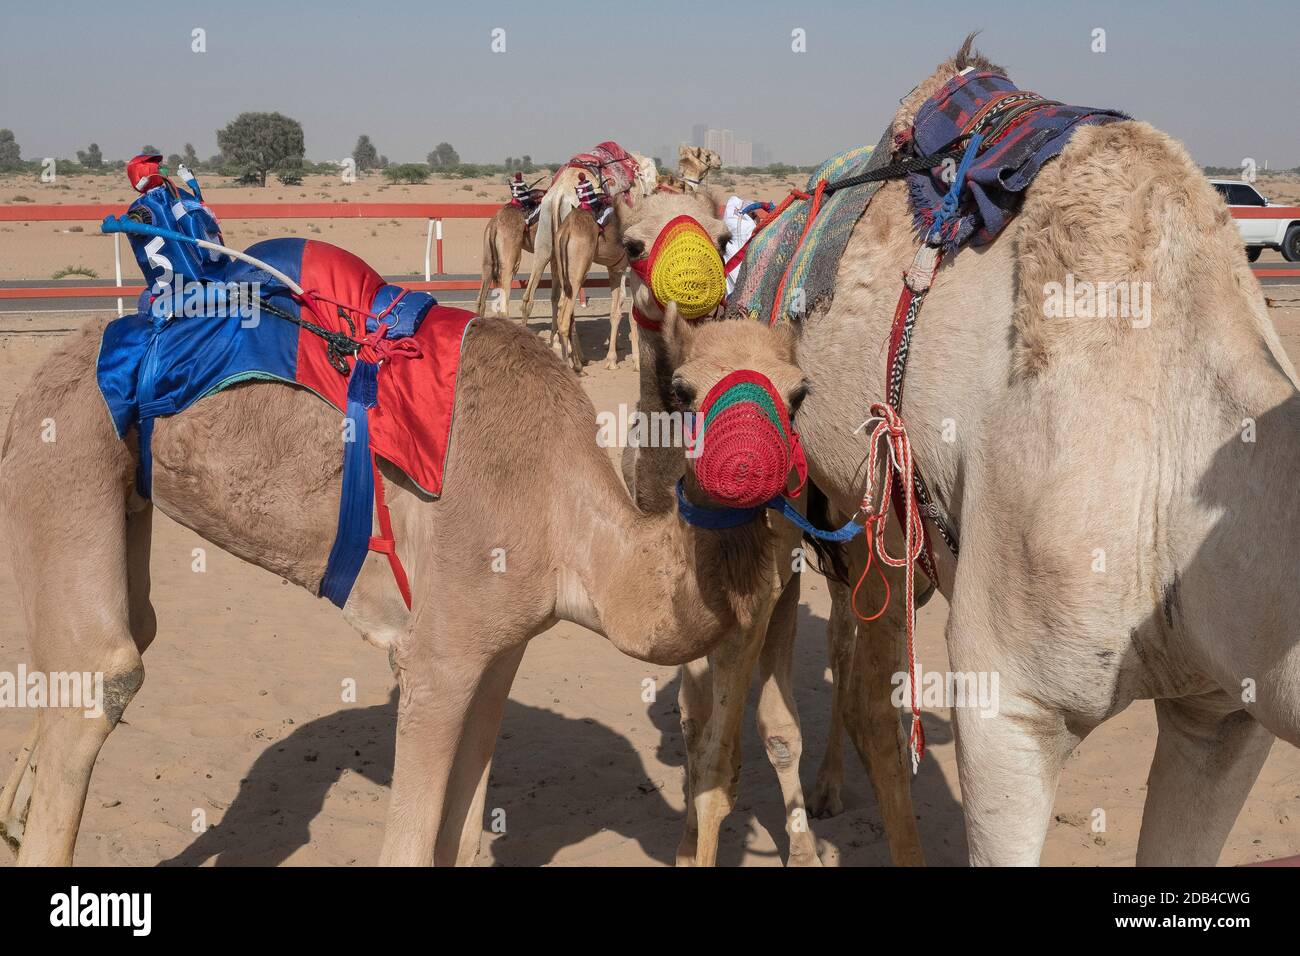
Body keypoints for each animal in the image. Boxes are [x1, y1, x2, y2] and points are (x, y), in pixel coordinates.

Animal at [0, 227, 806, 863]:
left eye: (798, 394)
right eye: (685, 391)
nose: (751, 465)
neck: (575, 533)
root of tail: (56, 363)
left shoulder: (502, 648)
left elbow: (465, 835)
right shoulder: (438, 655)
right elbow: (413, 845)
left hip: (123, 494)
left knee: (123, 635)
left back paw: (14, 816)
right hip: (63, 448)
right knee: (104, 673)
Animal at [618, 192, 925, 868]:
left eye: (719, 236)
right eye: (628, 242)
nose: (692, 281)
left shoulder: (773, 583)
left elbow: (774, 730)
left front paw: (804, 850)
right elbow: (695, 726)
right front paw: (686, 842)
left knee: (842, 647)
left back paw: (832, 788)